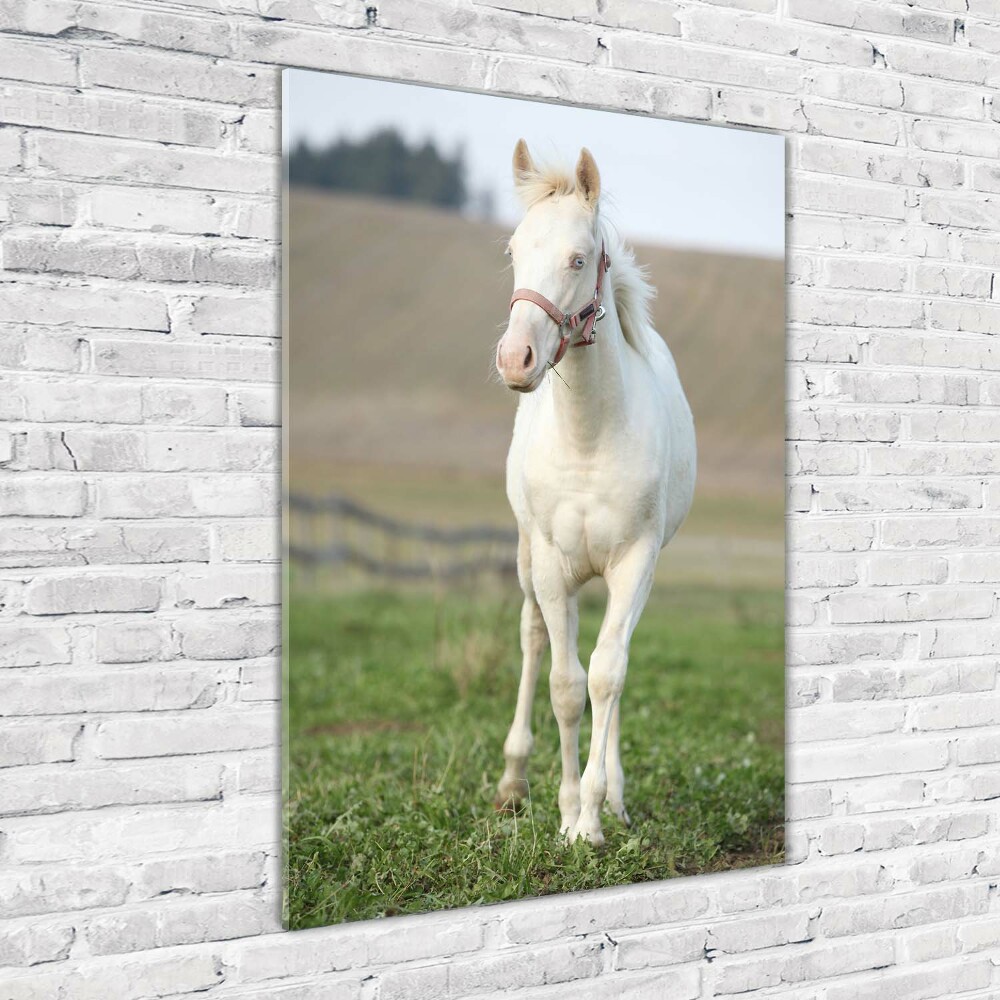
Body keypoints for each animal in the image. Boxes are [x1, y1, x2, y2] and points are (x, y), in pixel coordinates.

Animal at [492, 139, 696, 844]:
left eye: (578, 258)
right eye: (513, 252)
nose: (516, 359)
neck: (587, 440)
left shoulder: (635, 562)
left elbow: (607, 676)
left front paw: (592, 815)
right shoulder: (554, 566)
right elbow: (563, 683)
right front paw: (564, 812)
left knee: (612, 661)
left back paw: (615, 798)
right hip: (531, 559)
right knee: (533, 639)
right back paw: (512, 781)